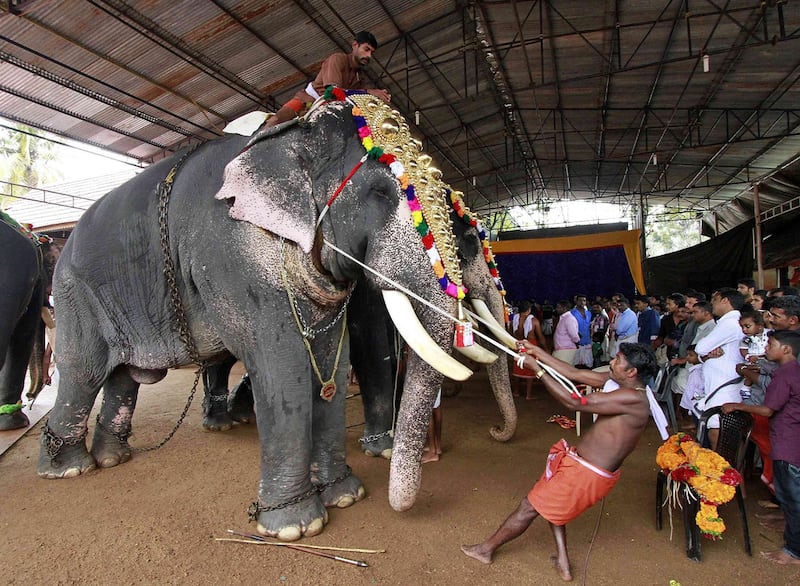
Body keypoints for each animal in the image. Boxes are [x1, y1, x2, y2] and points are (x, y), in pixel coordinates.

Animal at [39, 94, 482, 540]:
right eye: (380, 193)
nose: (404, 506)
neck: (291, 134)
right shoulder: (233, 255)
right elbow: (281, 366)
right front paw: (296, 527)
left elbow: (332, 362)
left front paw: (345, 497)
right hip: (74, 295)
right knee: (83, 372)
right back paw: (68, 469)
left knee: (123, 377)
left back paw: (113, 458)